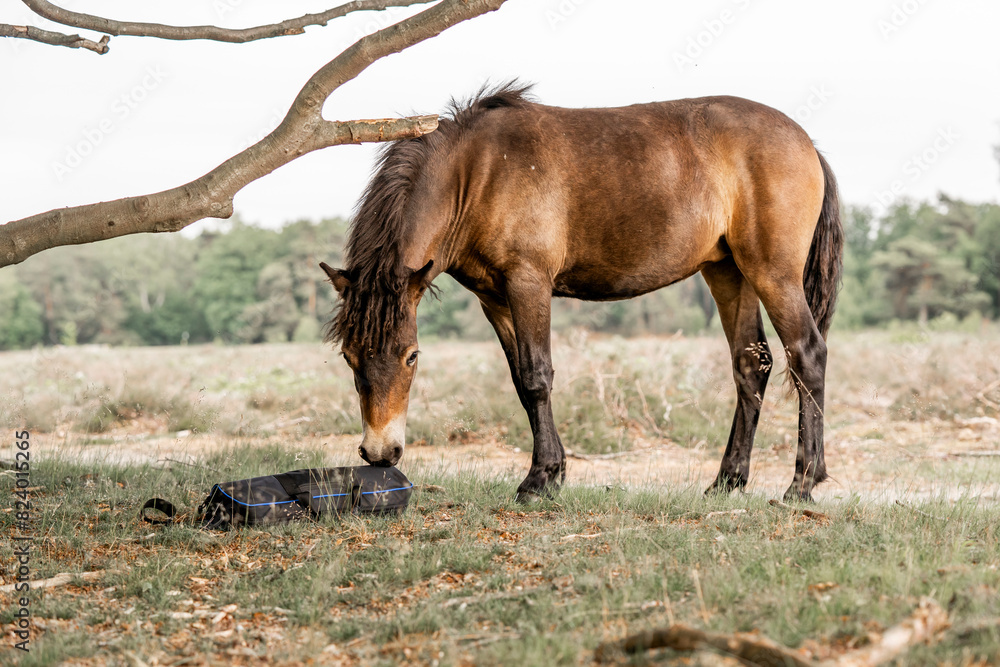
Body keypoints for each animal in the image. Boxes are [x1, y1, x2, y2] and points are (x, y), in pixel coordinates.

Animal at [320, 82, 842, 503]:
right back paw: (727, 482)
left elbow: (537, 376)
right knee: (752, 365)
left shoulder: (528, 282)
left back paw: (801, 484)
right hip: (729, 272)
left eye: (411, 356)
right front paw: (552, 473)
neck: (477, 173)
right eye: (348, 355)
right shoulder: (496, 300)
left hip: (773, 273)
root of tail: (807, 143)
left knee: (807, 355)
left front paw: (539, 480)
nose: (380, 452)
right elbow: (522, 383)